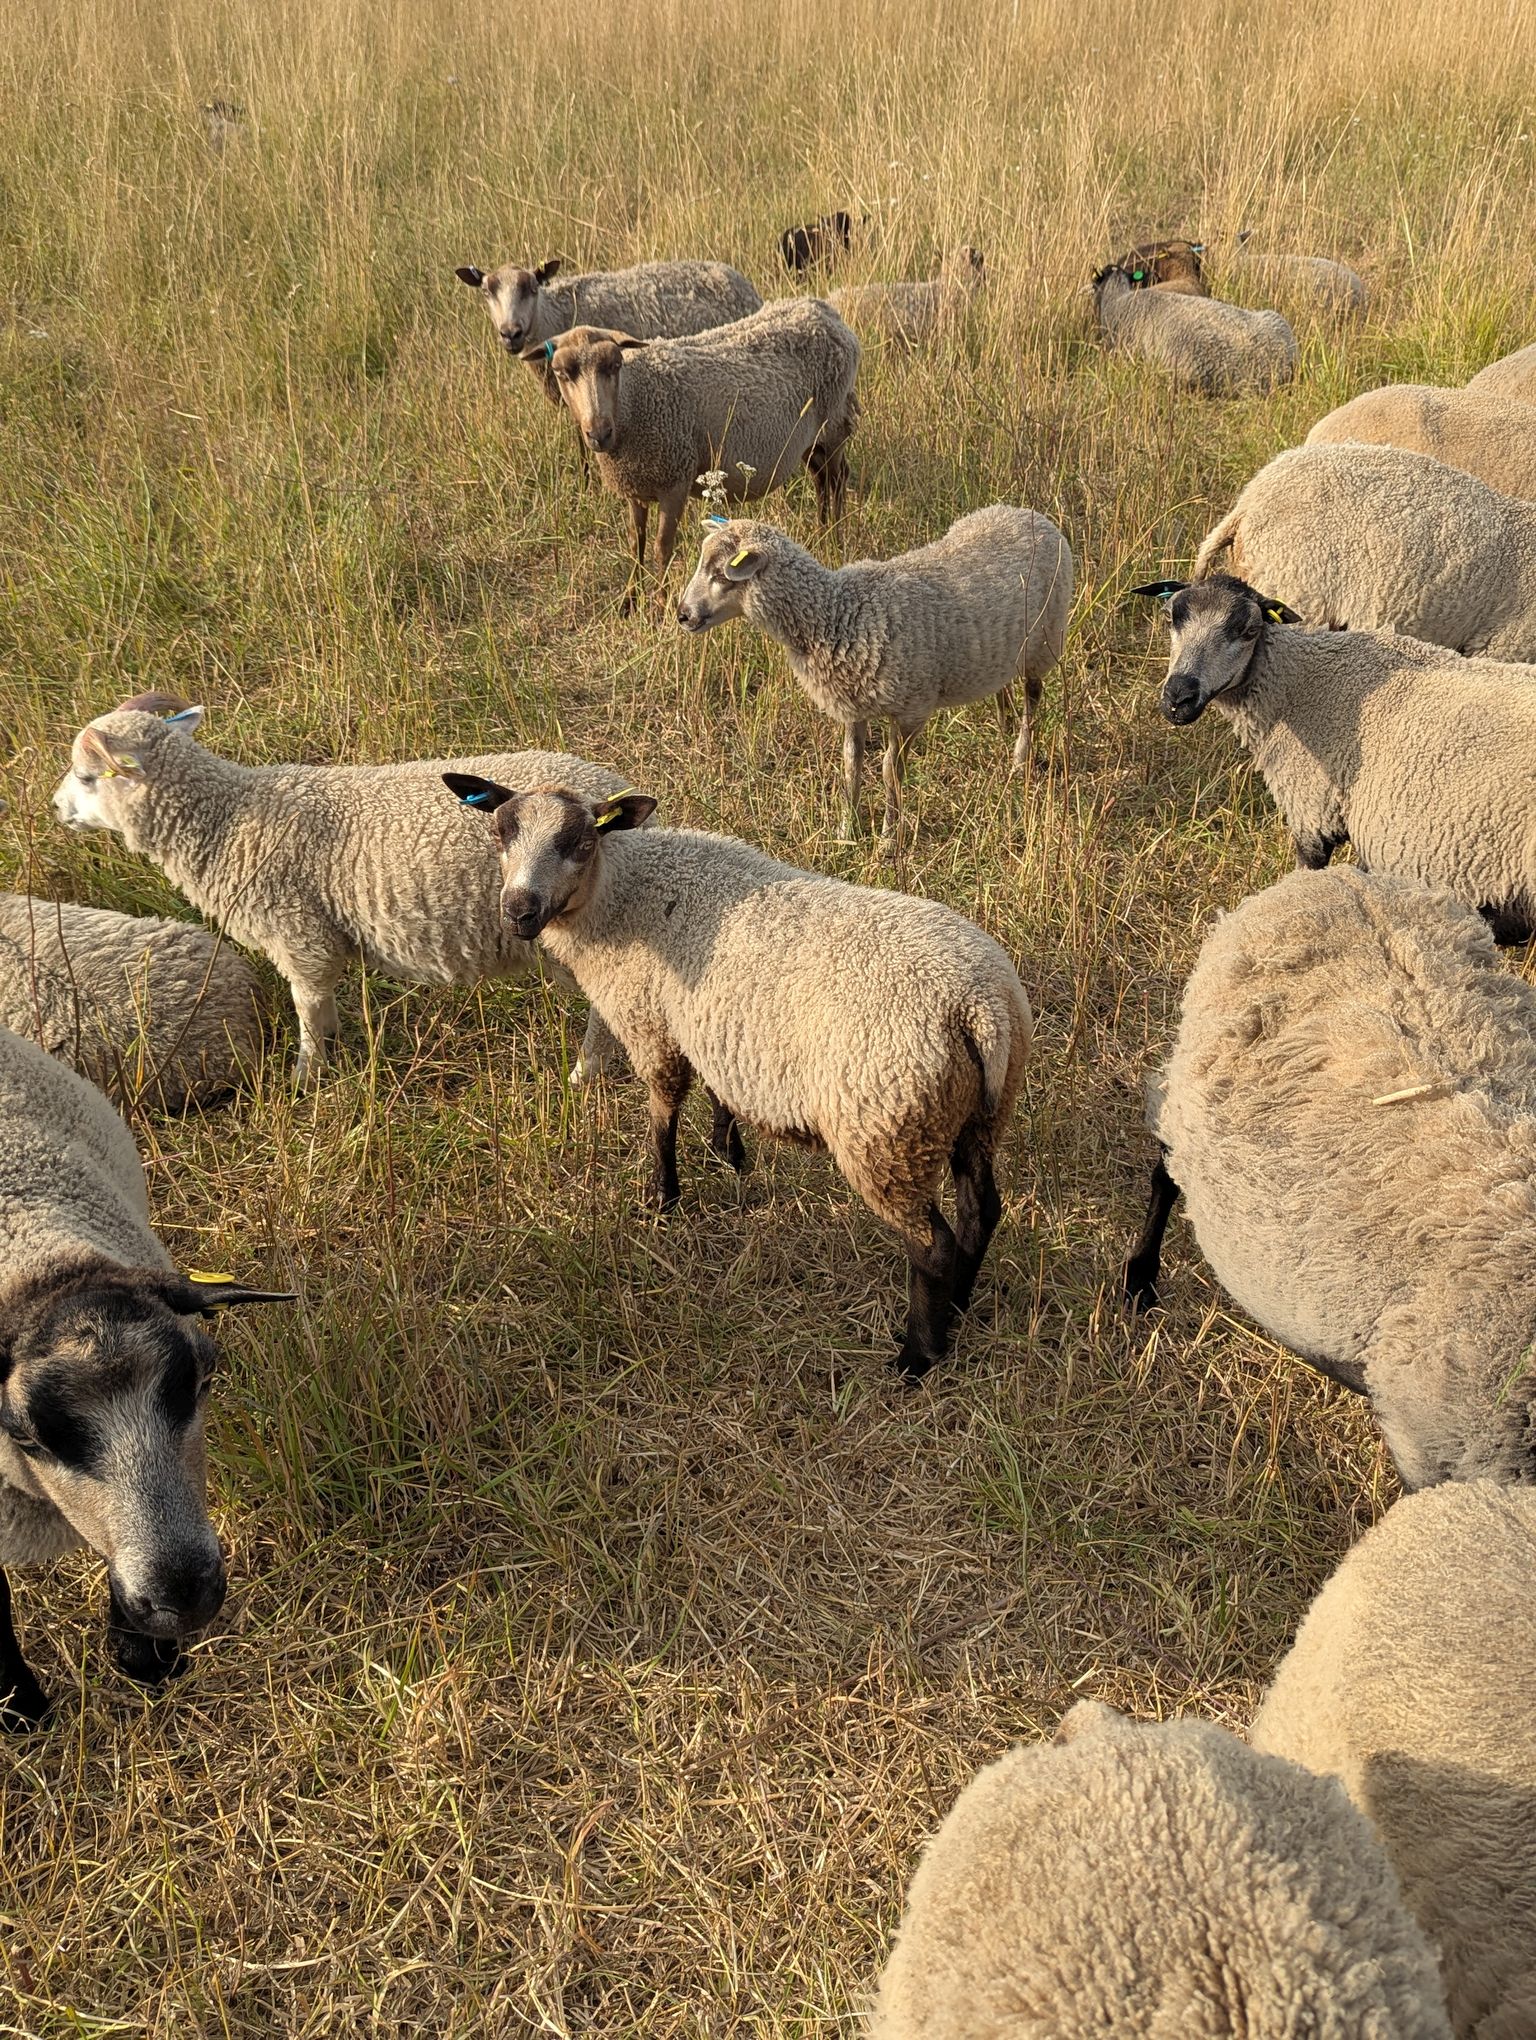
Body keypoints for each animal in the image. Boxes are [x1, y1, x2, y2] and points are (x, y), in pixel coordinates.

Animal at [50, 693, 634, 1087]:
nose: (55, 808)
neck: (226, 822)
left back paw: (584, 1077)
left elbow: (307, 1011)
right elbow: (323, 1010)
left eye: (86, 776)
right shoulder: (316, 940)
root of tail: (614, 797)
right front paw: (332, 1056)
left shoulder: (299, 936)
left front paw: (305, 1079)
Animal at [442, 779, 1032, 1381]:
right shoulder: (710, 1025)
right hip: (974, 1114)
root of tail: (979, 1007)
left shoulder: (649, 1022)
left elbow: (663, 1112)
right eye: (501, 831)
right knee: (980, 1212)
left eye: (580, 842)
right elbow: (714, 1089)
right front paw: (727, 1149)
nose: (518, 911)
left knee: (931, 1246)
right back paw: (958, 1304)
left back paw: (917, 1355)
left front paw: (663, 1197)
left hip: (885, 1130)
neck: (619, 893)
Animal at [532, 299, 860, 604]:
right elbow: (635, 542)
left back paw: (835, 541)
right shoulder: (635, 486)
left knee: (837, 480)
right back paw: (820, 535)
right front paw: (630, 600)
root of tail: (821, 309)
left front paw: (660, 605)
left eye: (614, 366)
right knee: (821, 480)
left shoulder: (674, 481)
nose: (599, 434)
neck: (632, 402)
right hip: (810, 439)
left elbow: (662, 547)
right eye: (561, 373)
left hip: (833, 423)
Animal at [676, 507, 1073, 840]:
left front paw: (887, 838)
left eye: (721, 574)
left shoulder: (912, 708)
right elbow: (851, 765)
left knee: (1033, 695)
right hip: (1004, 650)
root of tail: (1029, 514)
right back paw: (1005, 726)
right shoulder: (852, 705)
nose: (682, 615)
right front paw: (846, 831)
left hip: (1046, 637)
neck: (835, 615)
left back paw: (1020, 757)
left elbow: (888, 771)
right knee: (1003, 684)